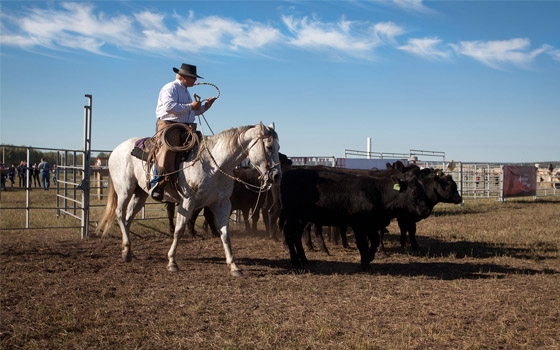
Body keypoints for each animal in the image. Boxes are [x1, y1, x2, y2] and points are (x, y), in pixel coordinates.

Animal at [98, 123, 282, 276]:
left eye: (278, 147)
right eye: (269, 146)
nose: (276, 176)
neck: (214, 165)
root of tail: (117, 150)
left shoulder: (222, 204)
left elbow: (225, 234)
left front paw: (234, 266)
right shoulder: (187, 202)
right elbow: (179, 230)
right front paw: (172, 262)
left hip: (140, 194)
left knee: (128, 218)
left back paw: (127, 251)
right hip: (124, 190)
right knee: (120, 215)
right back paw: (127, 251)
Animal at [280, 165, 434, 270]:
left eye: (423, 189)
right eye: (414, 192)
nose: (426, 210)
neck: (377, 192)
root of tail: (289, 174)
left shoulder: (372, 225)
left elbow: (374, 241)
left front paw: (369, 258)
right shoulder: (359, 225)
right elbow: (362, 244)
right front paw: (365, 263)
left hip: (300, 218)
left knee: (295, 235)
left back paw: (304, 259)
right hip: (293, 216)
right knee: (289, 234)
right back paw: (295, 261)